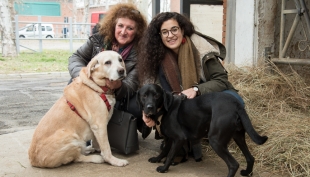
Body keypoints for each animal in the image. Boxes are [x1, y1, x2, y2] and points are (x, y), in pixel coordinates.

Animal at [137, 84, 268, 177]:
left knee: (233, 164)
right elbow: (164, 151)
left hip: (216, 141)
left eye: (156, 95)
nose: (149, 107)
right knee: (250, 158)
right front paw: (157, 159)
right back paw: (247, 172)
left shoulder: (179, 138)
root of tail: (235, 104)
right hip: (238, 136)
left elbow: (169, 155)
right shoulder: (170, 138)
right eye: (144, 96)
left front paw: (164, 168)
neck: (165, 109)